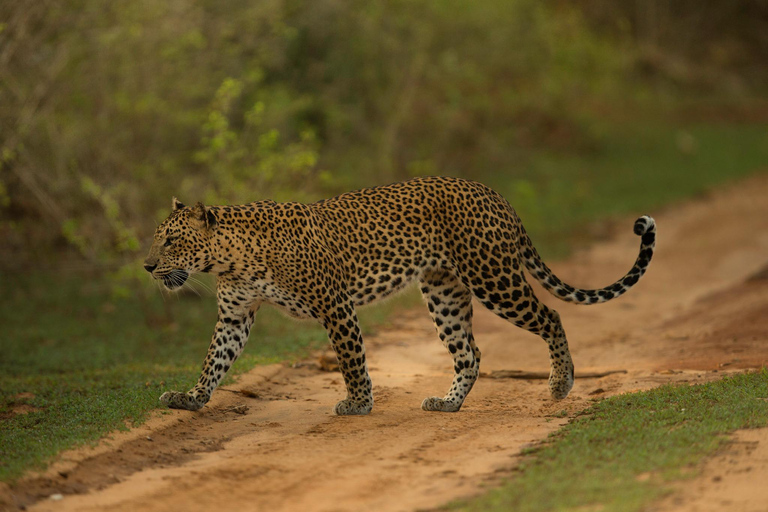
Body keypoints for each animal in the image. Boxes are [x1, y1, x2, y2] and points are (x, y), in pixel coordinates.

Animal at [144, 175, 656, 412]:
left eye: (170, 241)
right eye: (157, 239)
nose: (147, 266)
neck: (230, 259)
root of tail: (494, 193)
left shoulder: (335, 304)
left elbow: (351, 359)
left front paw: (357, 404)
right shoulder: (234, 315)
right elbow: (214, 361)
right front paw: (191, 398)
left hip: (493, 276)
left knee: (550, 316)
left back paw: (559, 383)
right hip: (444, 292)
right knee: (470, 352)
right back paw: (449, 403)